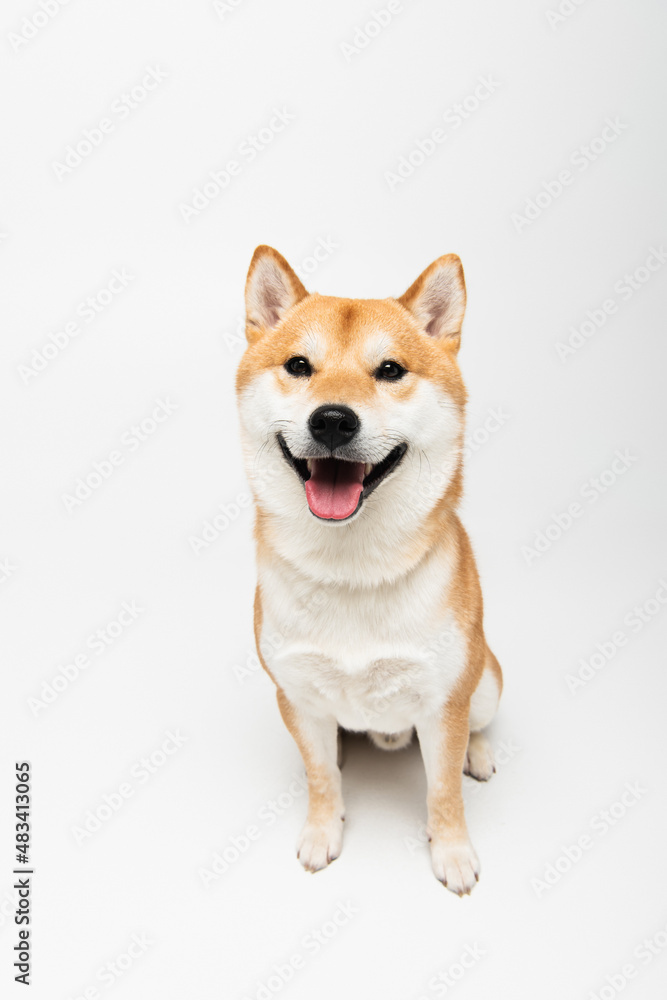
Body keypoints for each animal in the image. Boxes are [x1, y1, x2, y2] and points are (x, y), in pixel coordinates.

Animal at [237, 246, 504, 896]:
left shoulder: (444, 703)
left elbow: (443, 792)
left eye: (389, 370)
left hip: (485, 681)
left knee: (477, 725)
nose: (333, 420)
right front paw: (322, 830)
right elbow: (319, 778)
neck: (351, 572)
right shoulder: (295, 695)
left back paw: (478, 753)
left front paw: (452, 852)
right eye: (299, 365)